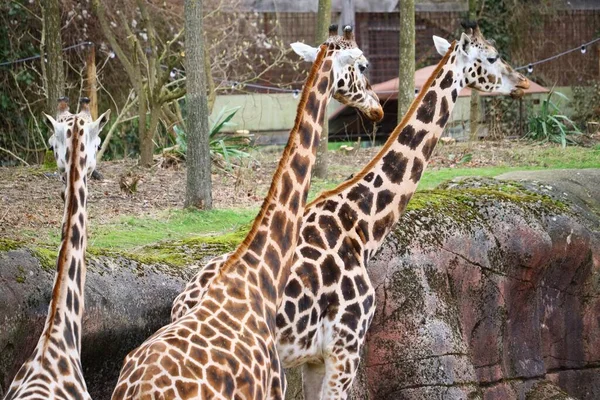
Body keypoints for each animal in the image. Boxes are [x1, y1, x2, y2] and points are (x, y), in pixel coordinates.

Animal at [171, 22, 528, 400]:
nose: (522, 83)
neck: (360, 225)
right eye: (493, 57)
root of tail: (183, 306)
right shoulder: (346, 348)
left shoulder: (314, 358)